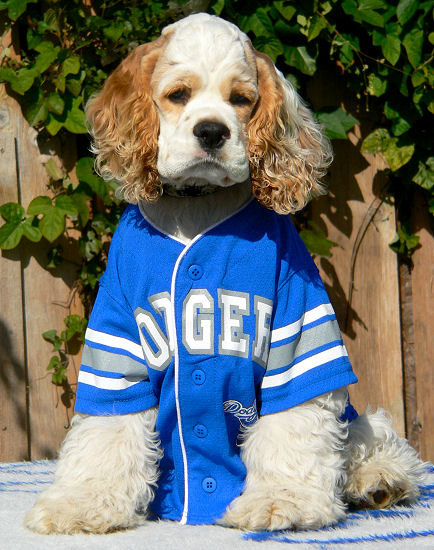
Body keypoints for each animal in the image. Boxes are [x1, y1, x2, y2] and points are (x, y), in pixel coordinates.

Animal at [24, 15, 428, 536]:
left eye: (241, 99)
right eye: (178, 94)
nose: (213, 131)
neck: (198, 204)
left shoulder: (296, 330)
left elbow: (291, 425)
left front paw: (282, 501)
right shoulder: (118, 338)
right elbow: (107, 430)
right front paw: (82, 503)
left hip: (351, 413)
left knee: (369, 436)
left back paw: (379, 480)